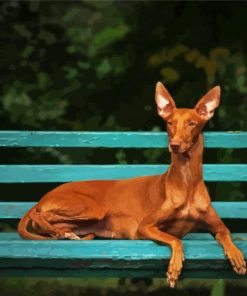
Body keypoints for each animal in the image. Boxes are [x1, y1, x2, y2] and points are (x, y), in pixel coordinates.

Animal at [18, 81, 246, 286]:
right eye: (170, 123)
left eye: (192, 124)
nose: (174, 145)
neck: (187, 180)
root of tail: (44, 197)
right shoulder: (144, 227)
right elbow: (176, 240)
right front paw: (174, 267)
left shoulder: (218, 227)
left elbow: (227, 236)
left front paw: (236, 255)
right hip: (92, 208)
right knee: (41, 215)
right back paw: (57, 232)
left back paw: (64, 233)